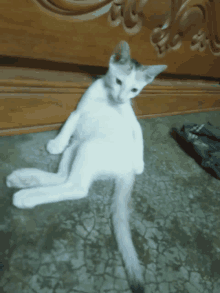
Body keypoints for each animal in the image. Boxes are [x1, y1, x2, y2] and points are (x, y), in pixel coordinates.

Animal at [6, 41, 167, 292]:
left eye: (134, 90)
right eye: (119, 82)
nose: (121, 99)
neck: (108, 98)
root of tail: (125, 171)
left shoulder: (131, 118)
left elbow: (139, 134)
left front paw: (140, 163)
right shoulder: (79, 110)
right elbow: (70, 123)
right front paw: (57, 142)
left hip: (89, 147)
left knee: (77, 187)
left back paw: (26, 196)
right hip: (77, 147)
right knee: (63, 177)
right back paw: (24, 179)